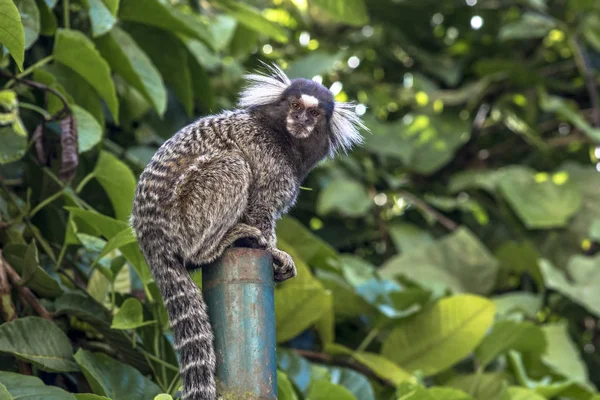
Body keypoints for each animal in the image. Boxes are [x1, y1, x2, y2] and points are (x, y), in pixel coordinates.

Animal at [130, 64, 366, 398]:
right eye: (295, 106)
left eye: (314, 113)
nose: (301, 120)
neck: (283, 138)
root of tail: (149, 236)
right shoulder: (267, 161)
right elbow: (259, 210)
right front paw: (273, 251)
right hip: (186, 215)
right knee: (233, 166)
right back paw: (212, 246)